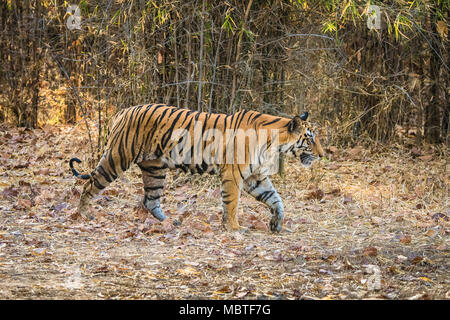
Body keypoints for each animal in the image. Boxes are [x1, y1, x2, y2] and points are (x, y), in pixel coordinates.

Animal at [69, 104, 324, 232]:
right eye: (310, 138)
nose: (322, 155)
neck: (274, 143)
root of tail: (122, 111)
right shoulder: (234, 173)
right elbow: (232, 203)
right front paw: (234, 227)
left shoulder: (256, 176)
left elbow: (275, 199)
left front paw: (276, 223)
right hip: (117, 158)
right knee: (90, 184)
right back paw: (83, 214)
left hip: (154, 169)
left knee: (150, 200)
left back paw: (170, 222)